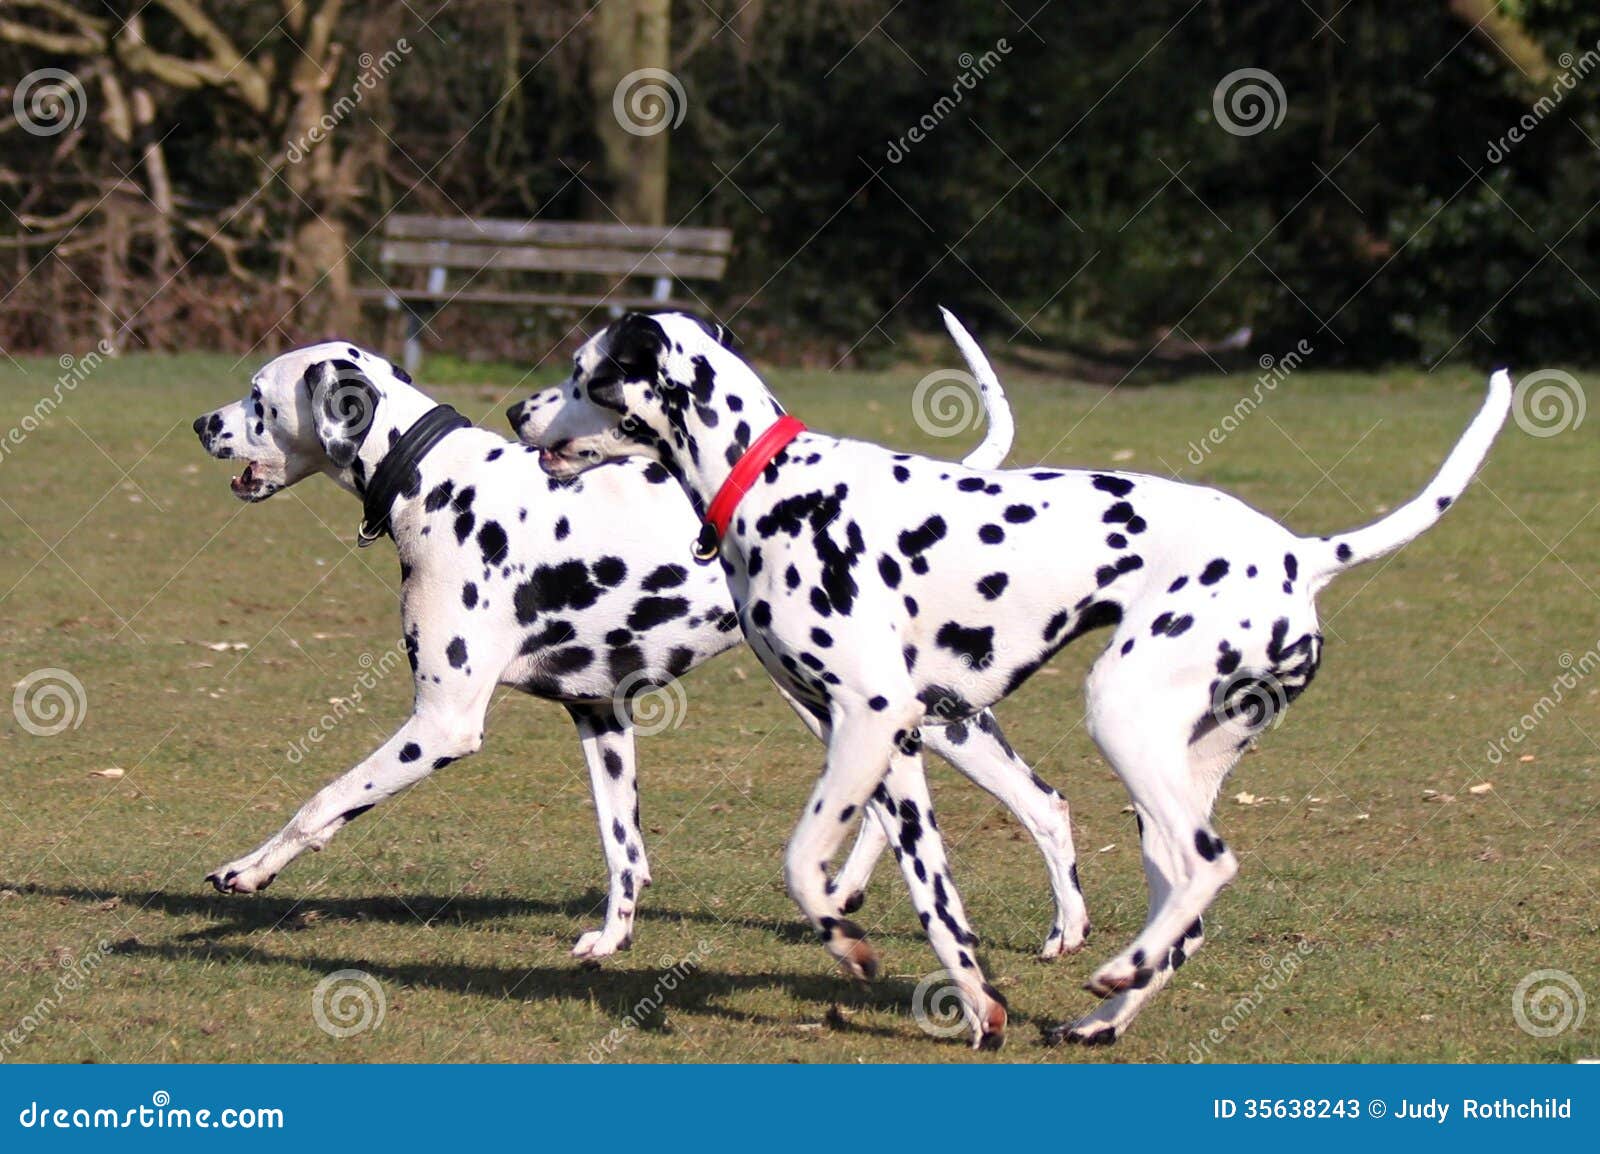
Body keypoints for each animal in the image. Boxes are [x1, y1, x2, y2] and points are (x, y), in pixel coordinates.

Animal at [190, 331, 1088, 960]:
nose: (201, 421)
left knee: (1028, 803)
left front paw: (249, 869)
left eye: (257, 395)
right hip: (865, 713)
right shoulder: (601, 716)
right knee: (970, 807)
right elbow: (624, 850)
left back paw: (1059, 932)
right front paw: (612, 939)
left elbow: (322, 802)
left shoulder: (442, 724)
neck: (438, 482)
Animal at [528, 310, 1510, 1049]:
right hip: (1161, 782)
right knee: (1182, 909)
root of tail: (1303, 554)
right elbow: (939, 910)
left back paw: (1116, 973)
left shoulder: (869, 721)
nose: (517, 408)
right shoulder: (897, 754)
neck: (772, 482)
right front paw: (978, 1009)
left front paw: (848, 945)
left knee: (1211, 867)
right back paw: (1105, 1016)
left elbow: (804, 866)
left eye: (584, 373)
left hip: (1118, 717)